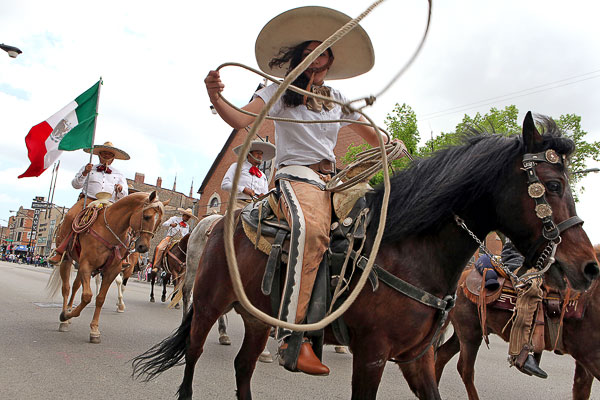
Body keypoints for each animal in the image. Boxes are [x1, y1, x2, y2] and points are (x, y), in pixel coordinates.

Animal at [46, 192, 166, 342]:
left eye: (159, 223)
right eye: (147, 216)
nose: (143, 247)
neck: (109, 231)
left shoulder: (112, 271)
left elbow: (101, 298)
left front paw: (94, 330)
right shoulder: (87, 265)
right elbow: (87, 296)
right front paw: (66, 316)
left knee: (75, 286)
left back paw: (68, 310)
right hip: (67, 259)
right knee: (66, 288)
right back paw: (64, 318)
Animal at [434, 244, 600, 400]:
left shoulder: (585, 361)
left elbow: (581, 391)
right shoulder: (589, 356)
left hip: (467, 332)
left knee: (442, 355)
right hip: (469, 333)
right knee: (465, 369)